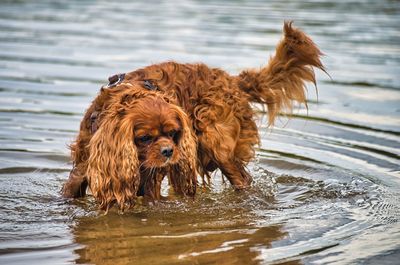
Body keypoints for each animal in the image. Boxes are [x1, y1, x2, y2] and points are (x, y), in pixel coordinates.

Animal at [61, 21, 324, 209]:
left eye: (173, 133)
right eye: (144, 138)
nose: (168, 151)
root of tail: (233, 81)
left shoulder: (152, 179)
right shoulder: (84, 165)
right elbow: (71, 190)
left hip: (217, 144)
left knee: (243, 179)